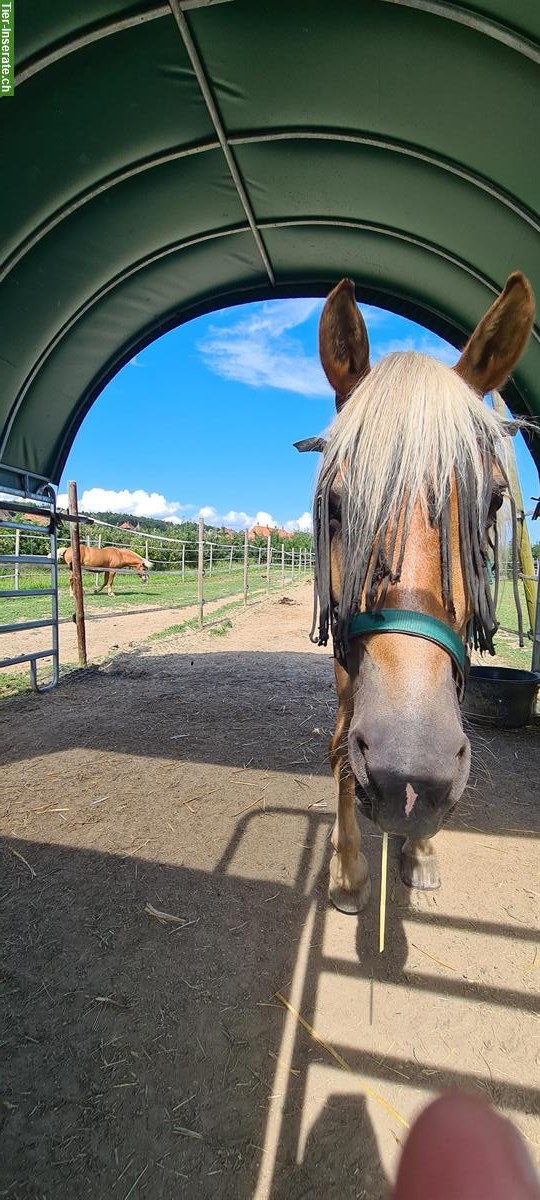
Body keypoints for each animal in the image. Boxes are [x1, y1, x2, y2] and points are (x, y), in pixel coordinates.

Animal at [307, 272, 535, 907]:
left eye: (494, 500)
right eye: (337, 505)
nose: (410, 779)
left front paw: (423, 851)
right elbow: (341, 751)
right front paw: (349, 869)